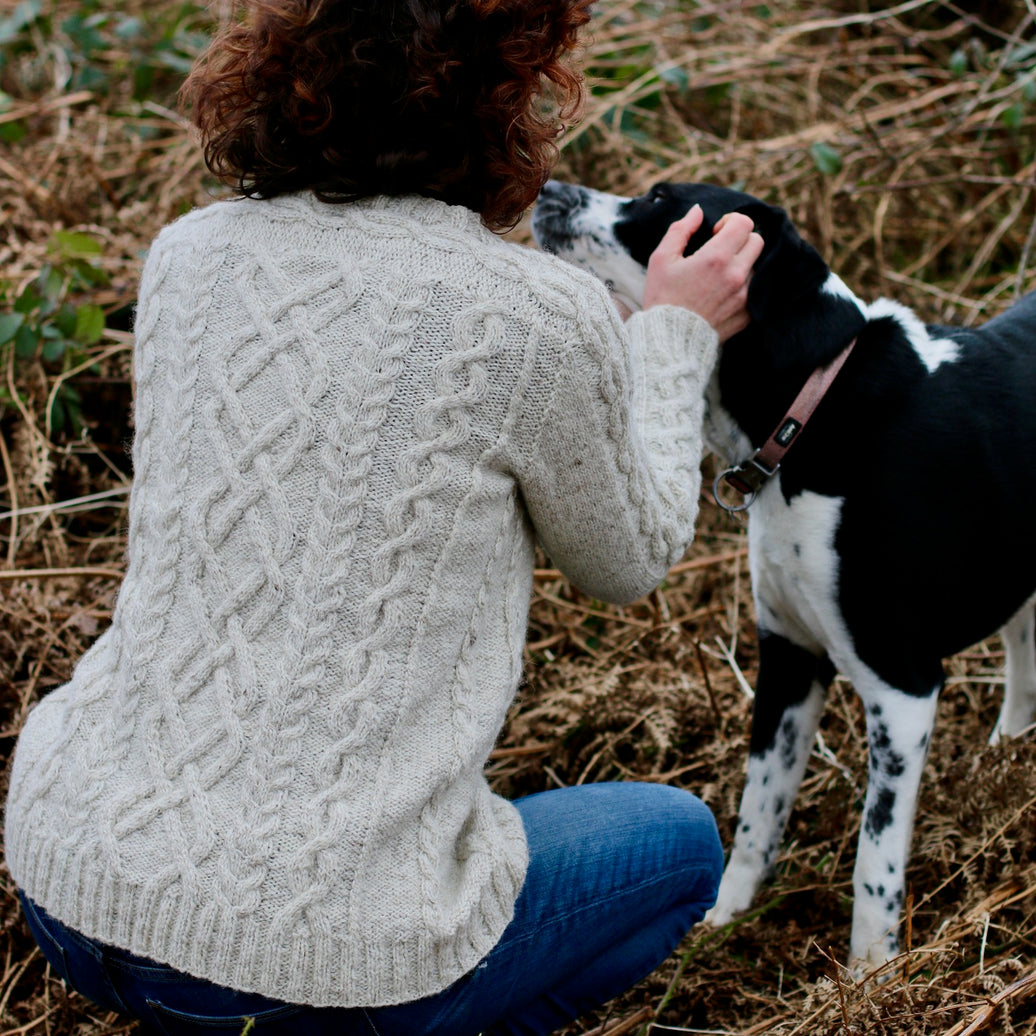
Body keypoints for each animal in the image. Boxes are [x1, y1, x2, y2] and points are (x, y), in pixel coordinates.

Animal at [534, 180, 1036, 969]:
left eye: (660, 201)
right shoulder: (788, 655)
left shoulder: (902, 688)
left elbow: (873, 858)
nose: (553, 188)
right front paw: (722, 921)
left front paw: (868, 977)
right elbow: (756, 811)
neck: (812, 411)